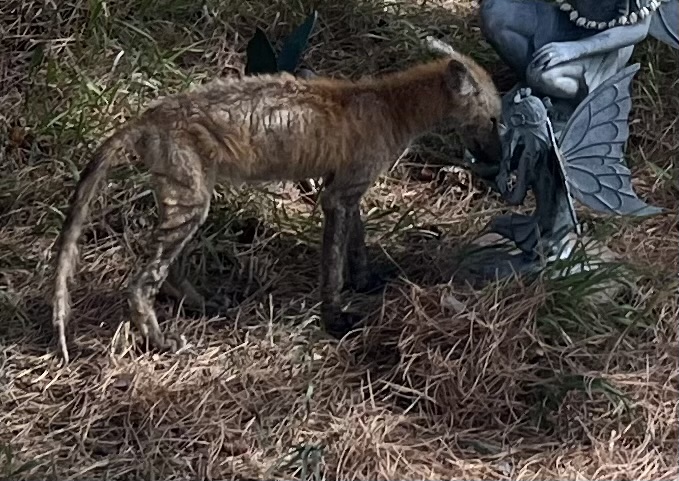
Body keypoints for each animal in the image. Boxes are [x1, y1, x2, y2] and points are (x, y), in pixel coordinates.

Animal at [51, 49, 503, 363]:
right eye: (496, 119)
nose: (499, 163)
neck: (389, 106)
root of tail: (146, 116)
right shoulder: (337, 196)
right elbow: (333, 270)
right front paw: (336, 320)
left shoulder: (347, 188)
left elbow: (356, 248)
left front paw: (367, 282)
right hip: (191, 206)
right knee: (141, 283)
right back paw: (159, 340)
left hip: (189, 206)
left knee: (168, 273)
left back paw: (202, 305)